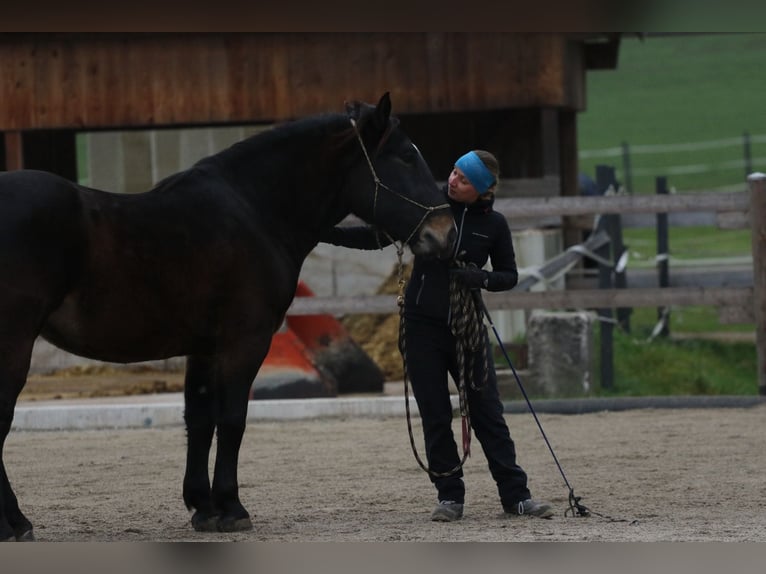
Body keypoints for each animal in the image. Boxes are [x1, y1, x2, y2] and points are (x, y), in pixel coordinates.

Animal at [0, 93, 457, 540]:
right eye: (405, 157)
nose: (446, 232)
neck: (255, 210)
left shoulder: (203, 347)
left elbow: (200, 419)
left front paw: (203, 507)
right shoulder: (245, 341)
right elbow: (233, 418)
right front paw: (232, 508)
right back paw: (17, 523)